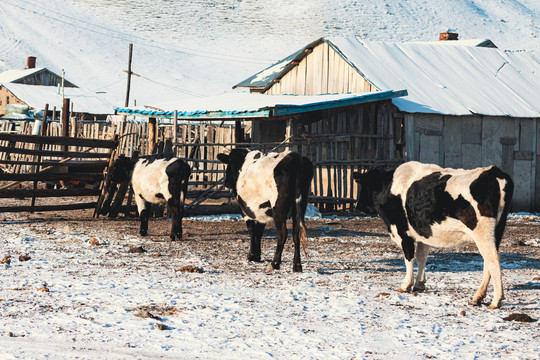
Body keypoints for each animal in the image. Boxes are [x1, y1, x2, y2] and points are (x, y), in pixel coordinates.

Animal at [352, 162, 512, 308]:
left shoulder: (403, 233)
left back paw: (496, 300)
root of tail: (494, 172)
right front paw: (419, 284)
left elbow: (409, 258)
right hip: (496, 232)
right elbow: (421, 257)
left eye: (363, 185)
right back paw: (478, 297)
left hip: (482, 232)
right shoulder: (422, 232)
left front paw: (406, 285)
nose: (358, 206)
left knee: (493, 259)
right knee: (487, 262)